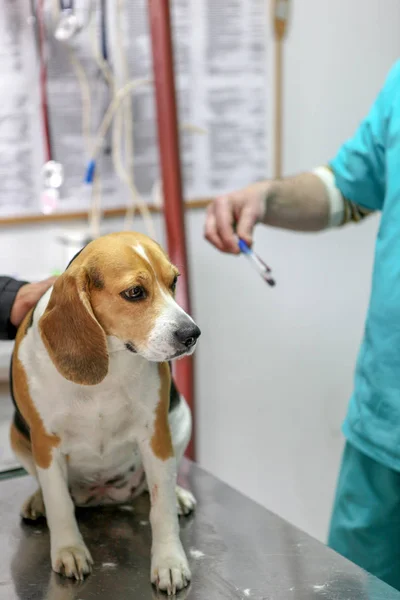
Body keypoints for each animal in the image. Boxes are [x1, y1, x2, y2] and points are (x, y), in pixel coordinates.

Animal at [8, 231, 203, 596]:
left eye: (174, 282)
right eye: (135, 292)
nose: (192, 334)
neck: (112, 356)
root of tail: (103, 494)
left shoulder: (155, 435)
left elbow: (162, 510)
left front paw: (169, 561)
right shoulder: (45, 443)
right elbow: (60, 504)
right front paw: (69, 550)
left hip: (182, 418)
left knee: (159, 487)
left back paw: (179, 494)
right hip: (16, 437)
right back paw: (37, 501)